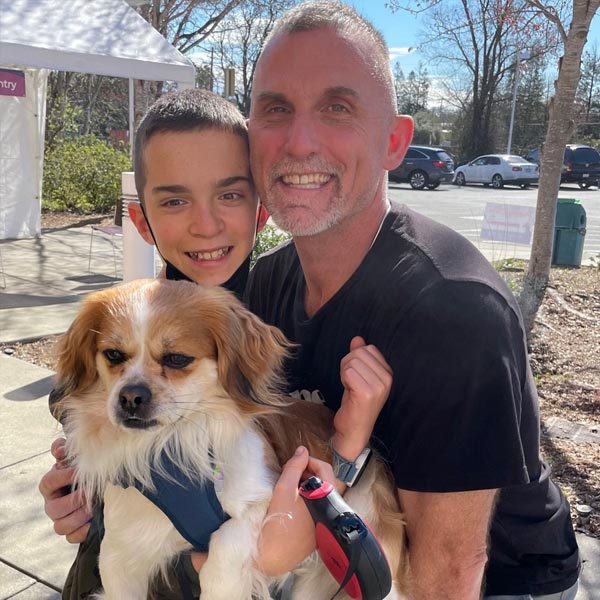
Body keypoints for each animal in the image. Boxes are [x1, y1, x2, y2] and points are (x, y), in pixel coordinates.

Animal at [52, 280, 408, 600]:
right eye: (113, 355)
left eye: (176, 358)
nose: (130, 397)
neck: (171, 444)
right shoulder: (121, 556)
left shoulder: (268, 500)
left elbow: (225, 543)